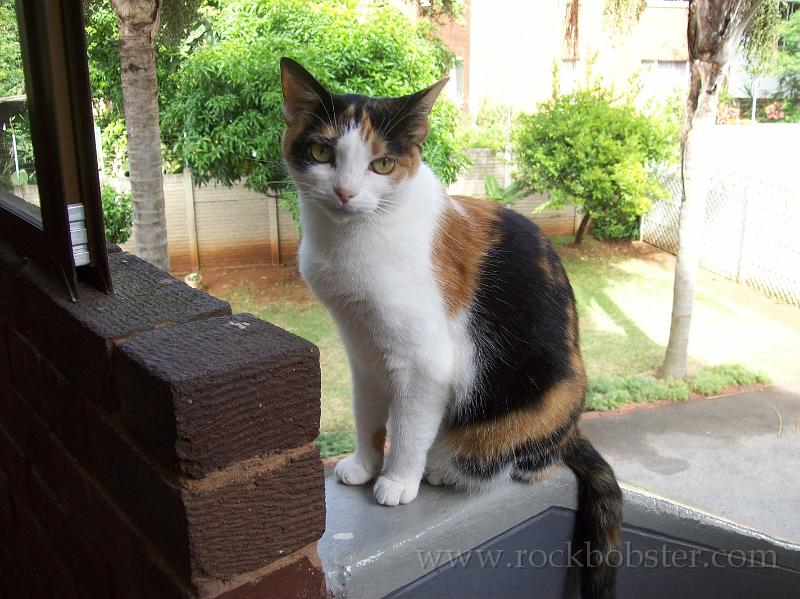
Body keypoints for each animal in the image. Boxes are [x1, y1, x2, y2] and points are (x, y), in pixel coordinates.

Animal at [282, 57, 624, 599]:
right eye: (321, 152)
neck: (350, 246)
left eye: (382, 165)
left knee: (524, 460)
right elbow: (366, 414)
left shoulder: (424, 363)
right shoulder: (362, 351)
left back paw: (444, 469)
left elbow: (408, 426)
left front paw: (397, 480)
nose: (345, 192)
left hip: (551, 395)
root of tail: (573, 428)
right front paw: (363, 464)